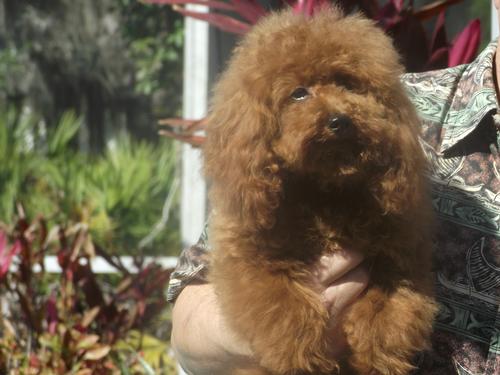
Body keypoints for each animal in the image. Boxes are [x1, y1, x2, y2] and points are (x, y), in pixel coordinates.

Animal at [203, 8, 438, 375]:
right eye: (298, 93)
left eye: (348, 85)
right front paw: (302, 358)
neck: (323, 192)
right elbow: (284, 305)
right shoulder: (250, 260)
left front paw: (379, 357)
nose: (340, 121)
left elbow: (388, 311)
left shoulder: (400, 257)